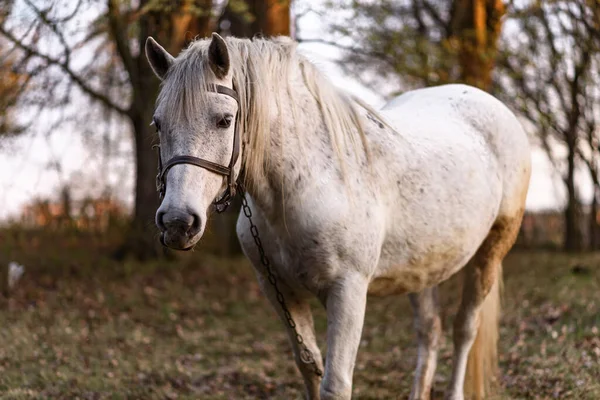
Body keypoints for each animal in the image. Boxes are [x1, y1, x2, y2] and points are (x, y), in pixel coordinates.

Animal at [144, 32, 528, 398]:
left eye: (224, 121)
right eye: (158, 124)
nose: (178, 222)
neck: (308, 182)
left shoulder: (348, 292)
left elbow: (336, 383)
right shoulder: (280, 290)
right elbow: (309, 367)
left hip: (489, 254)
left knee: (465, 329)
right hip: (423, 267)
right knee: (430, 331)